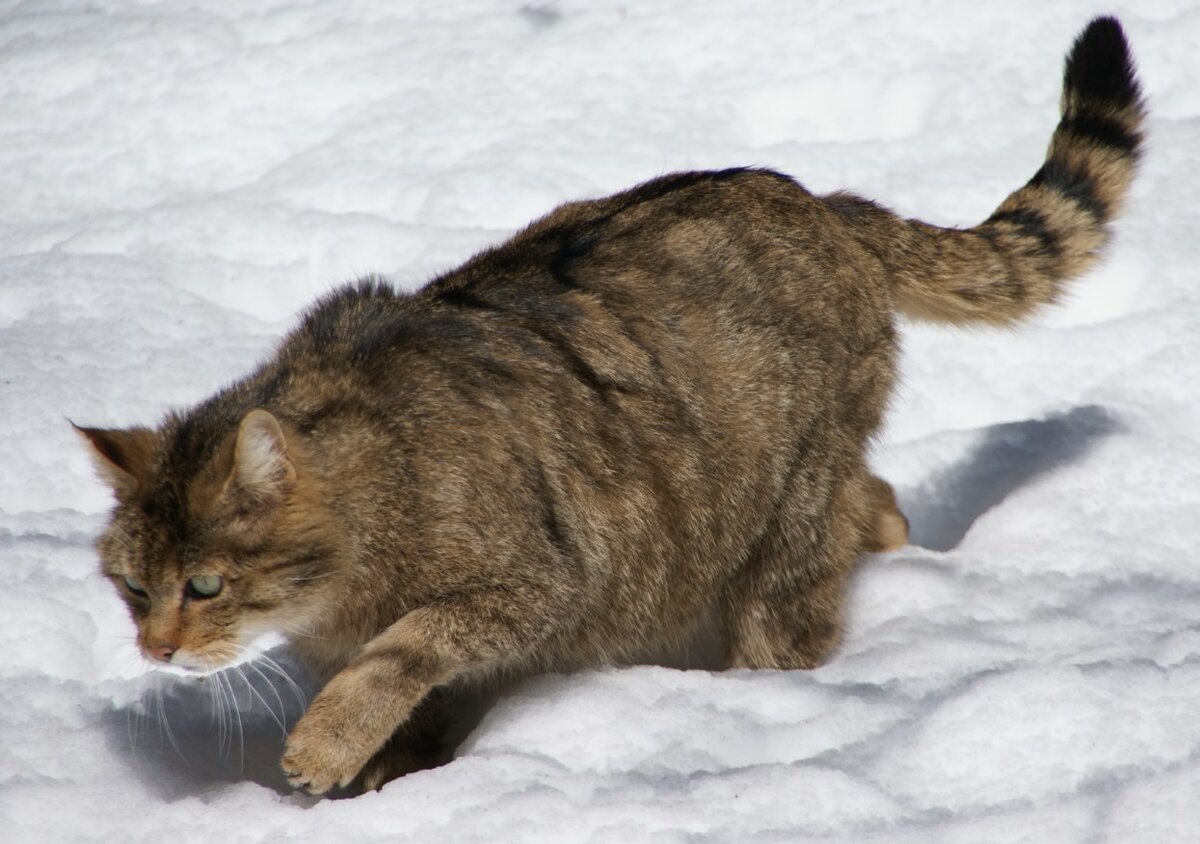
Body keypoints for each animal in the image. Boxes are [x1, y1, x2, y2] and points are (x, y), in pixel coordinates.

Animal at [75, 16, 1142, 797]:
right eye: (129, 587)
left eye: (204, 585)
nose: (154, 649)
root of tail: (815, 197)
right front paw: (382, 779)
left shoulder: (536, 579)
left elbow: (404, 649)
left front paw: (331, 743)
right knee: (874, 502)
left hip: (779, 523)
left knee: (798, 598)